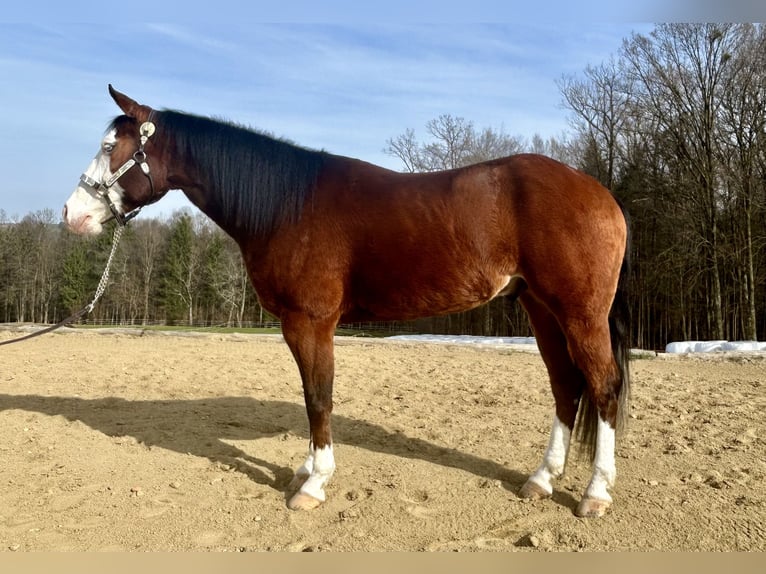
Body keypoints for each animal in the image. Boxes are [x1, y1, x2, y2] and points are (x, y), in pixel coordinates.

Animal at [63, 85, 631, 518]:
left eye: (111, 146)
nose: (71, 215)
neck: (286, 205)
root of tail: (599, 193)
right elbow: (310, 397)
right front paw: (305, 470)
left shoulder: (309, 323)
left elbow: (319, 398)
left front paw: (314, 484)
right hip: (541, 310)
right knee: (565, 387)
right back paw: (541, 480)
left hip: (580, 314)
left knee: (603, 387)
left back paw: (595, 494)